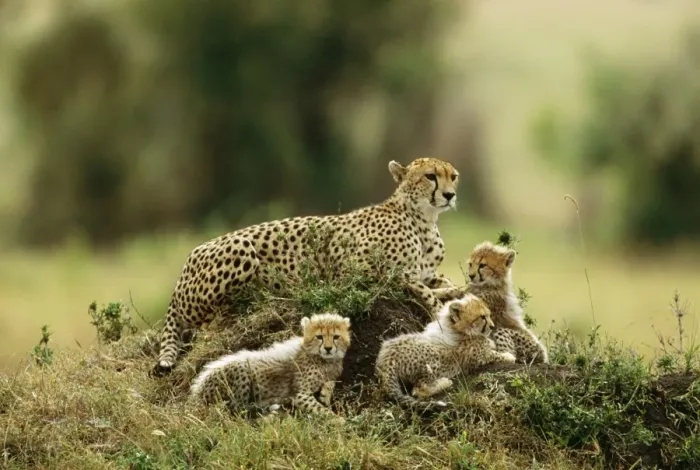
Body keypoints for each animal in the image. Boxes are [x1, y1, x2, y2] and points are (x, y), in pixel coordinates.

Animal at [154, 157, 464, 375]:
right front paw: (441, 310)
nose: (450, 195)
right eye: (430, 176)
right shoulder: (361, 273)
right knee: (206, 325)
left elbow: (443, 282)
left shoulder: (424, 272)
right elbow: (423, 291)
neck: (423, 220)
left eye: (453, 176)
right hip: (241, 250)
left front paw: (456, 293)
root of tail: (190, 258)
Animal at [189, 312, 350, 420]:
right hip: (241, 369)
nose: (328, 349)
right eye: (319, 337)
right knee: (237, 410)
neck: (323, 360)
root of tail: (197, 391)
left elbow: (330, 382)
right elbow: (320, 409)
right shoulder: (300, 394)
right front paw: (339, 421)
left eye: (336, 337)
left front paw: (326, 394)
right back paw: (270, 407)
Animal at [374, 293, 516, 409]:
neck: (460, 330)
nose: (492, 326)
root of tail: (387, 358)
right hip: (433, 359)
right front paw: (509, 356)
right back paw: (444, 382)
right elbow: (495, 355)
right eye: (482, 317)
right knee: (419, 390)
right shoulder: (478, 357)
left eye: (488, 315)